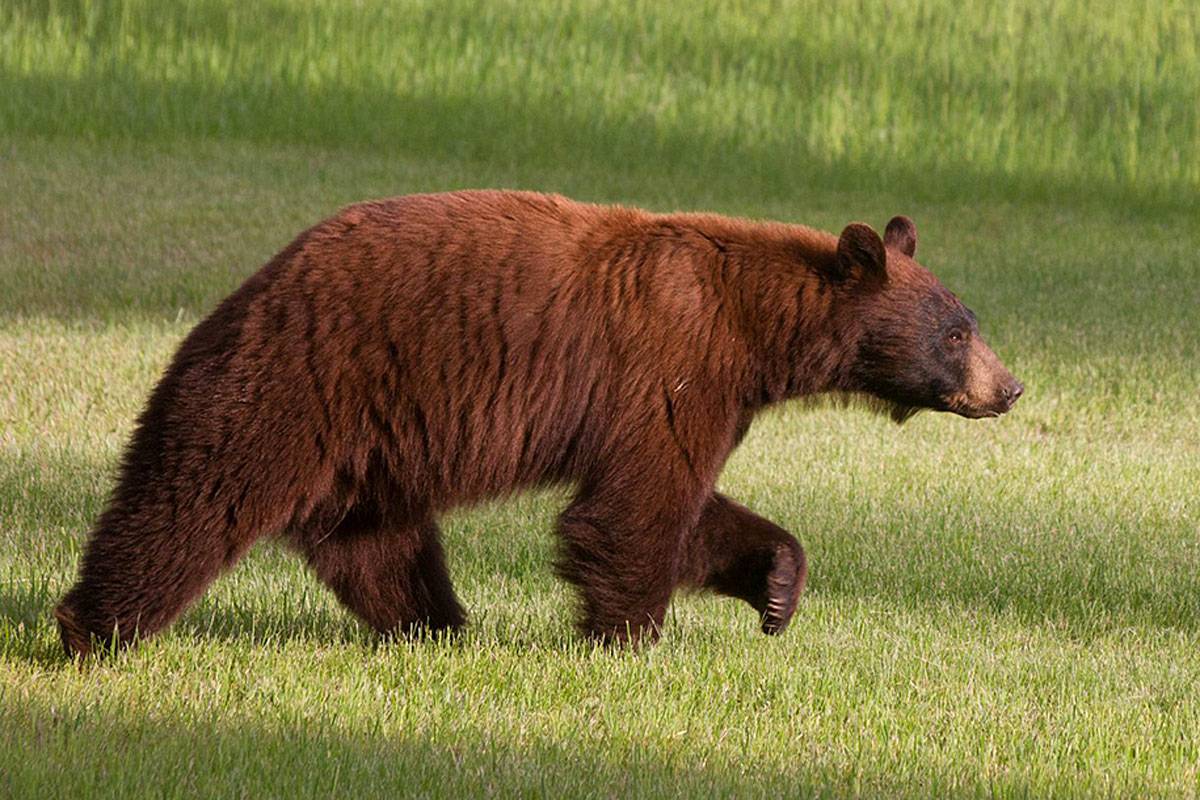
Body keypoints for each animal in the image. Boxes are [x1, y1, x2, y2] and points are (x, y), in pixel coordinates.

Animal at [51, 189, 1017, 657]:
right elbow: (636, 506)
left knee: (377, 542)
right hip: (291, 386)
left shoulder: (700, 395)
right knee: (190, 502)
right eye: (957, 330)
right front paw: (627, 640)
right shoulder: (671, 364)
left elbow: (688, 504)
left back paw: (435, 627)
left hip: (373, 444)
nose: (1008, 388)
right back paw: (92, 629)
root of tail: (244, 295)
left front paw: (777, 585)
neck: (754, 328)